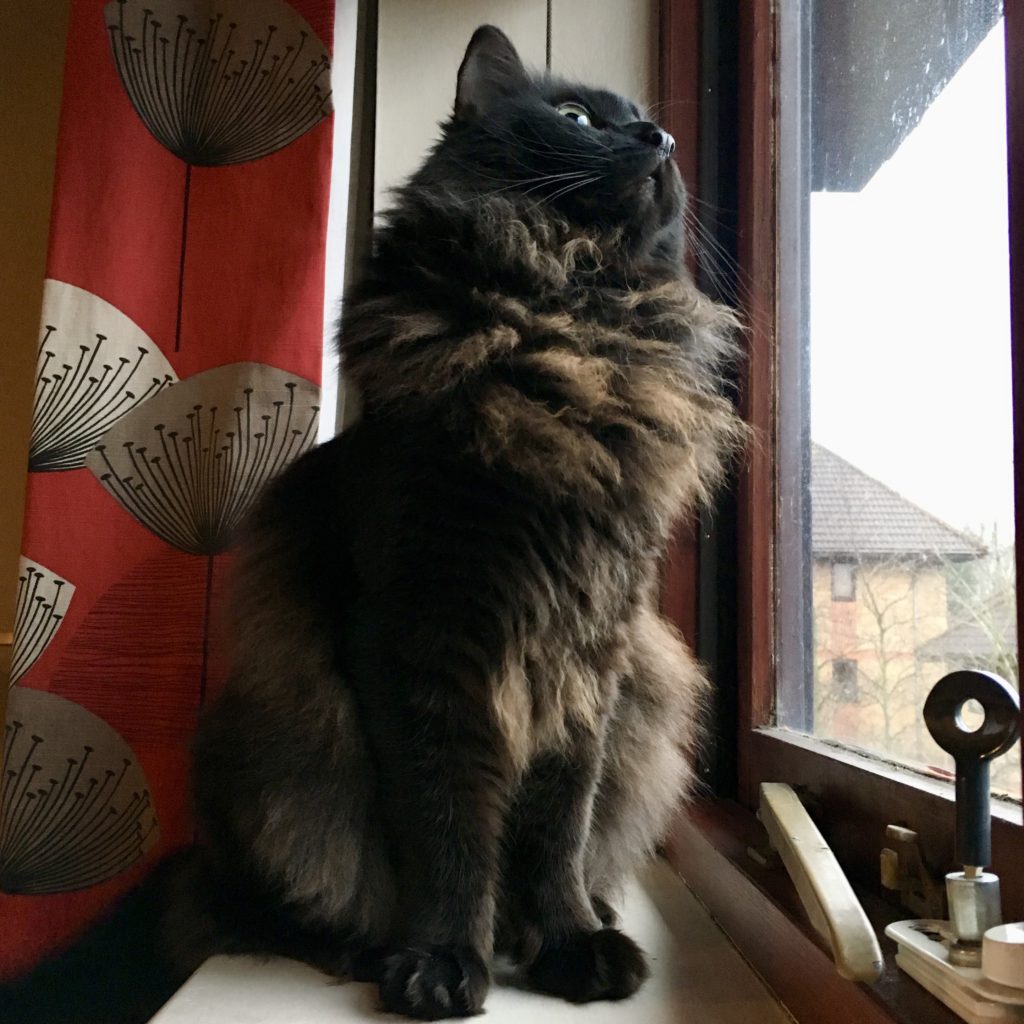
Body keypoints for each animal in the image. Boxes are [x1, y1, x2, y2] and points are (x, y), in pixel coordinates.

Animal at [0, 24, 745, 1024]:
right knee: (252, 908)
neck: (569, 322)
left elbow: (558, 826)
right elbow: (447, 826)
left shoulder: (592, 652)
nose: (659, 139)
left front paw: (567, 942)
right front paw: (443, 960)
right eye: (579, 118)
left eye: (646, 124)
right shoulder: (422, 635)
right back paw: (356, 946)